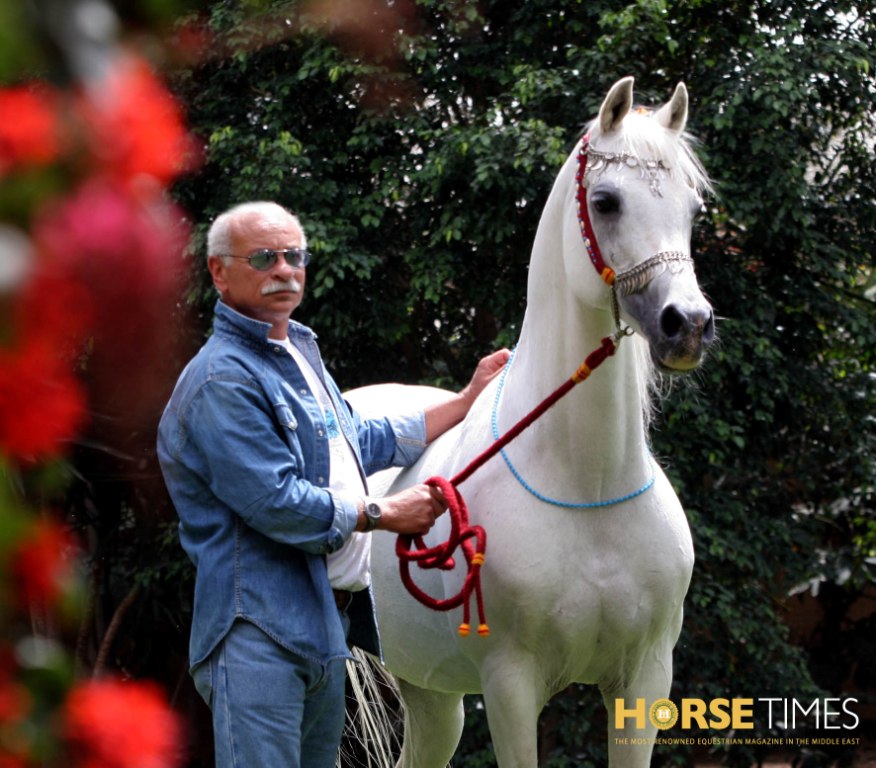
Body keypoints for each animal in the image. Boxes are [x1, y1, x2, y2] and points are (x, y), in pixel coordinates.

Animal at [346, 76, 715, 767]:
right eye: (606, 201)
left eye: (693, 208)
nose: (688, 325)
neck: (588, 487)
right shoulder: (511, 686)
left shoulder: (644, 679)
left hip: (432, 696)